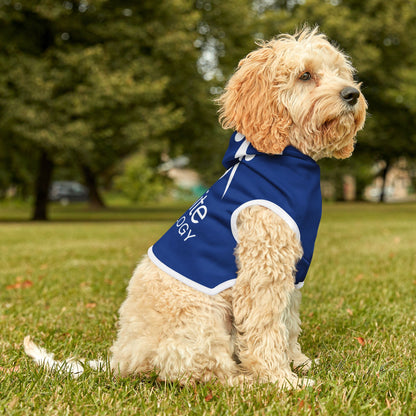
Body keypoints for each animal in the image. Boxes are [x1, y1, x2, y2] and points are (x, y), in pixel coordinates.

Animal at [24, 27, 366, 388]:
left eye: (340, 72)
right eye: (305, 75)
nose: (352, 94)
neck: (286, 157)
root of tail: (122, 359)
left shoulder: (292, 270)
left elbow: (288, 322)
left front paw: (298, 362)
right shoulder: (263, 269)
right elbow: (266, 327)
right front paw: (281, 379)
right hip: (202, 317)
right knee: (200, 371)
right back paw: (244, 380)